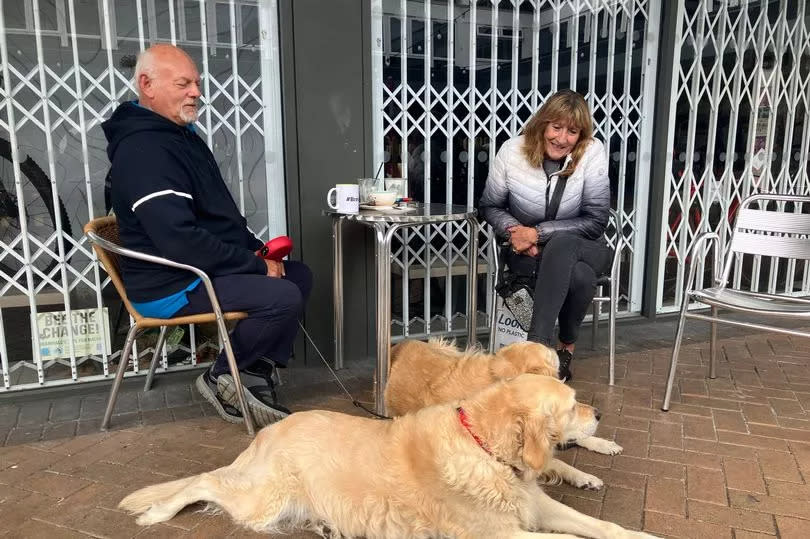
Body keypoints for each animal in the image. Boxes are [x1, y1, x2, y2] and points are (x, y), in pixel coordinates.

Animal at [120, 376, 652, 539]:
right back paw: (155, 513)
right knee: (204, 481)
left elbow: (604, 526)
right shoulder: (499, 533)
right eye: (572, 404)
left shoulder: (534, 504)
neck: (481, 445)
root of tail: (267, 432)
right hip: (263, 501)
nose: (599, 412)